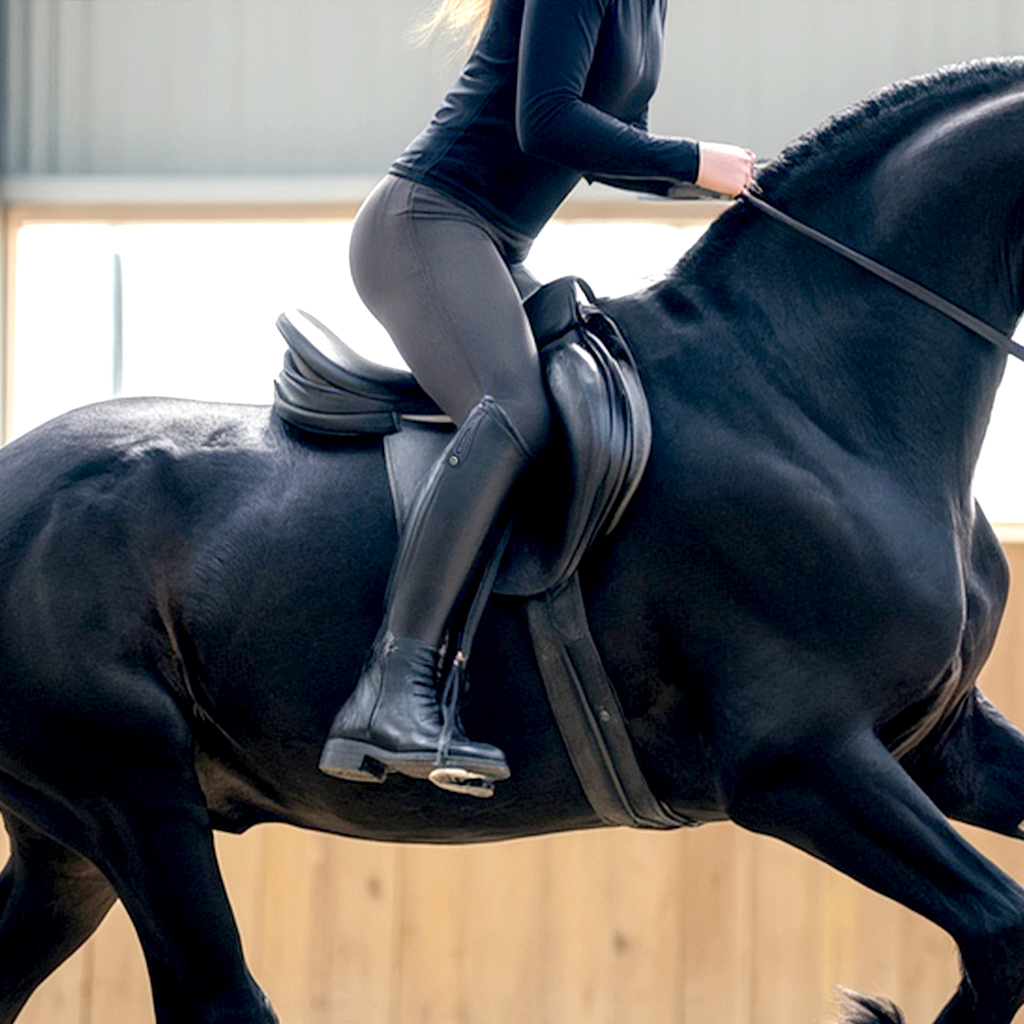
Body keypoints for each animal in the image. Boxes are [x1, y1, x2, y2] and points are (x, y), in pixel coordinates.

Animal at [2, 57, 1024, 1024]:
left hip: (68, 845)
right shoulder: (800, 760)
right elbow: (1000, 929)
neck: (811, 396)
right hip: (135, 794)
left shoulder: (935, 742)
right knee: (222, 996)